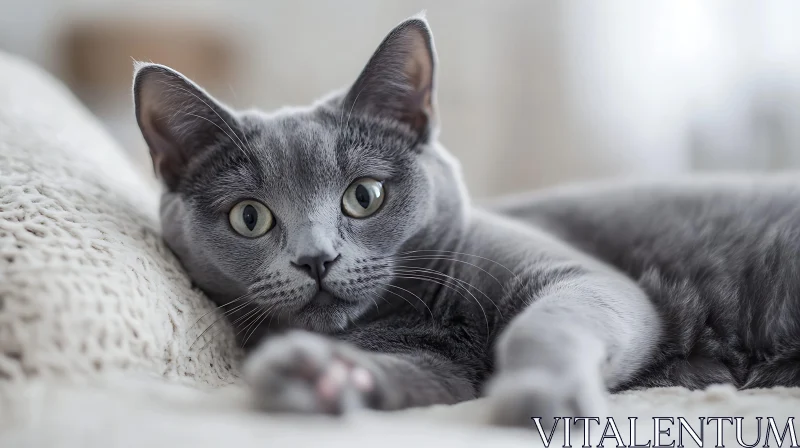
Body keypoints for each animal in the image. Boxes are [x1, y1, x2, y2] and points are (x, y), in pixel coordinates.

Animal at [131, 14, 800, 428]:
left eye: (364, 196)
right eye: (250, 217)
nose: (316, 258)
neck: (423, 318)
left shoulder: (582, 277)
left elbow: (541, 326)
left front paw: (542, 395)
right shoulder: (438, 366)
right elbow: (419, 378)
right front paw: (318, 376)